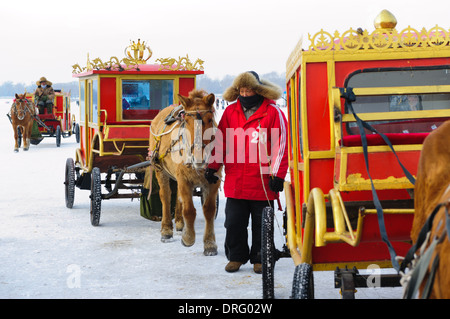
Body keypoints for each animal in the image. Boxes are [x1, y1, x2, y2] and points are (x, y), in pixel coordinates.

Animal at [149, 90, 221, 258]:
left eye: (209, 119)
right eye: (186, 121)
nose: (198, 155)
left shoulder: (213, 181)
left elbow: (209, 210)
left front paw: (210, 244)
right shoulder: (184, 179)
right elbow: (189, 210)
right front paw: (188, 237)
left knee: (177, 197)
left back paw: (180, 223)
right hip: (160, 170)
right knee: (166, 196)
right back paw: (167, 229)